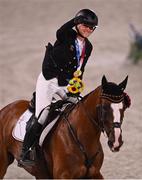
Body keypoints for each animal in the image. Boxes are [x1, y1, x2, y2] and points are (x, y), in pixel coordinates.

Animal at [0, 75, 130, 179]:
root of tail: (6, 109)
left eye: (123, 107)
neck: (83, 139)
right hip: (3, 164)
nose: (116, 141)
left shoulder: (95, 174)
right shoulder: (63, 176)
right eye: (104, 107)